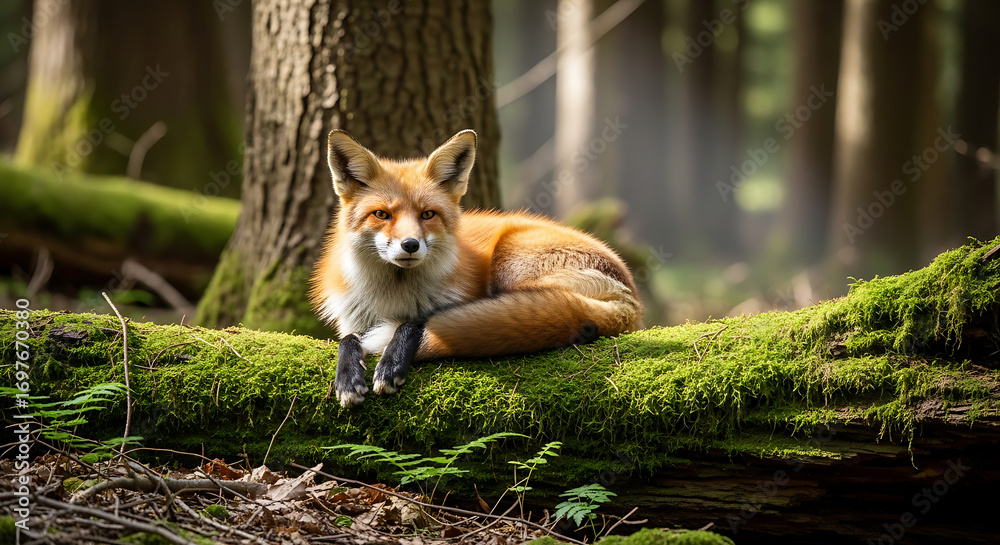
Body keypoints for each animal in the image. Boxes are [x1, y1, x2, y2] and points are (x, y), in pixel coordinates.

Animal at [309, 129, 643, 408]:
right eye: (381, 214)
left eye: (427, 214)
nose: (410, 245)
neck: (392, 296)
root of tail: (633, 297)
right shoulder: (352, 320)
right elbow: (348, 339)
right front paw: (347, 378)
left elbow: (414, 321)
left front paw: (391, 364)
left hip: (510, 260)